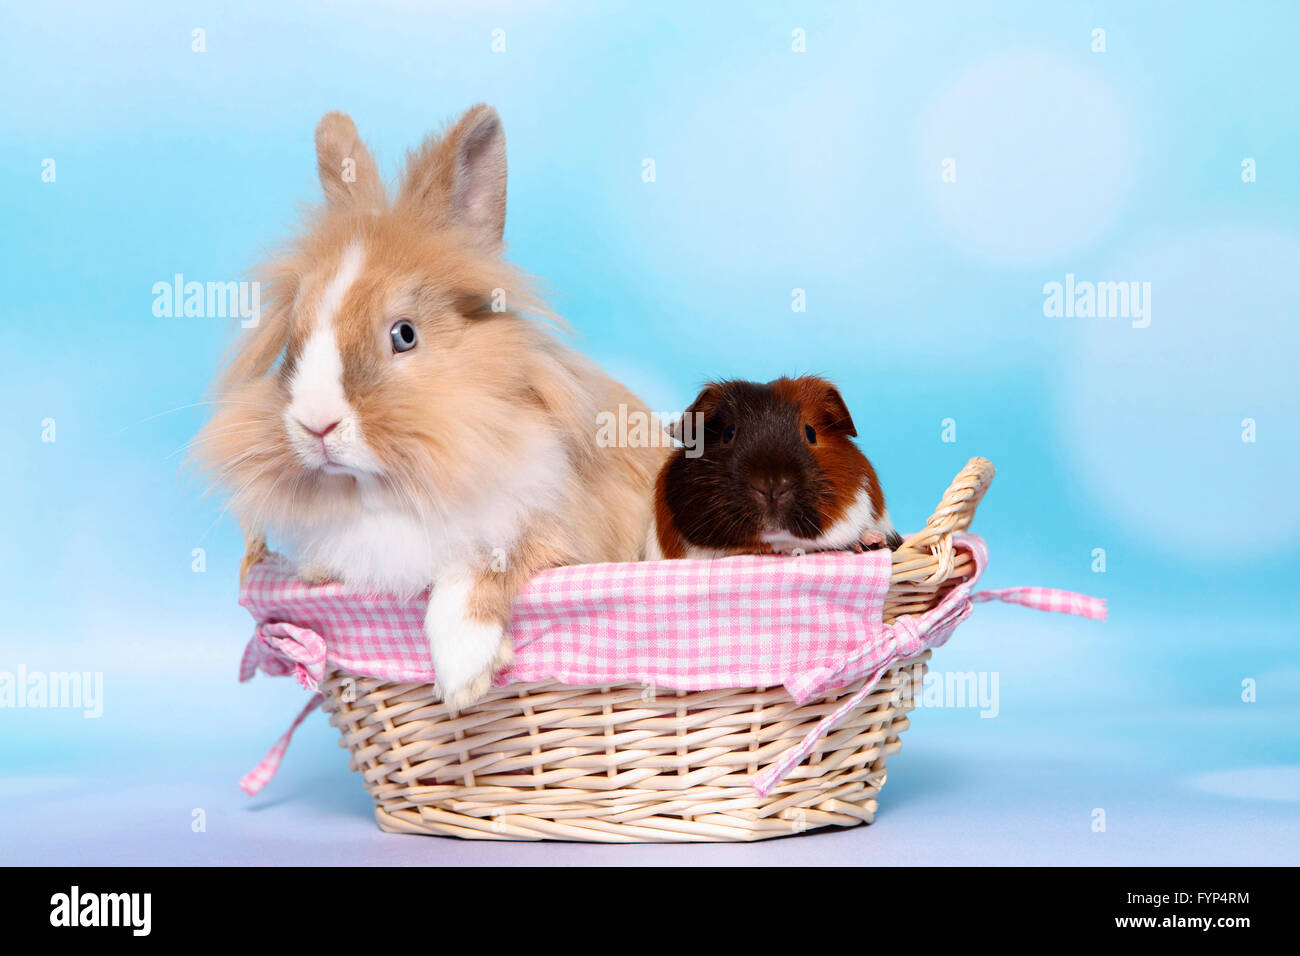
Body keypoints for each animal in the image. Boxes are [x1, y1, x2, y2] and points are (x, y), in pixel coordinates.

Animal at [195, 106, 667, 708]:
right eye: (292, 345)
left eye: (404, 334)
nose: (316, 425)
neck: (395, 492)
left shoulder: (557, 530)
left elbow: (479, 566)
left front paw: (463, 674)